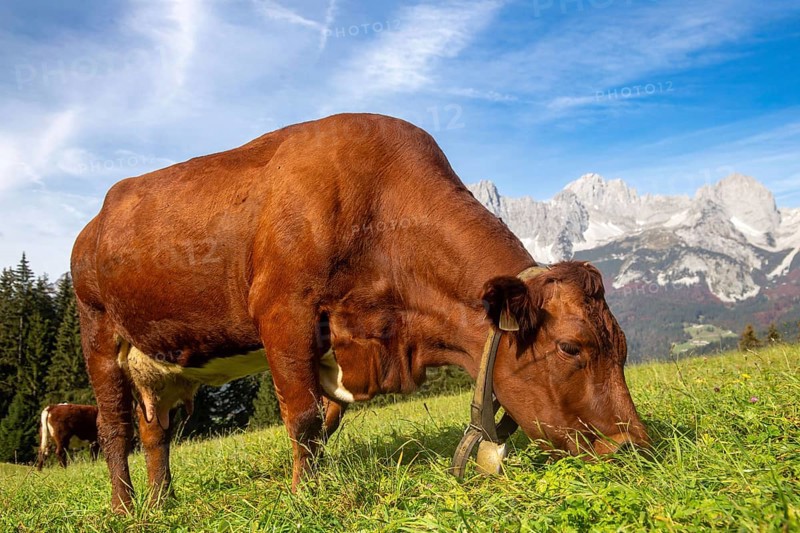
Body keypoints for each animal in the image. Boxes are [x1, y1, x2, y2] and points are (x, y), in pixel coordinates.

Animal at [71, 113, 649, 512]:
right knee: (115, 429)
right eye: (571, 347)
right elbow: (303, 418)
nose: (637, 447)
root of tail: (95, 220)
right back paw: (124, 508)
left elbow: (324, 422)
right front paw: (304, 499)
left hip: (162, 366)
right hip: (98, 333)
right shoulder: (283, 314)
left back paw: (161, 502)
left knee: (155, 433)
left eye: (622, 346)